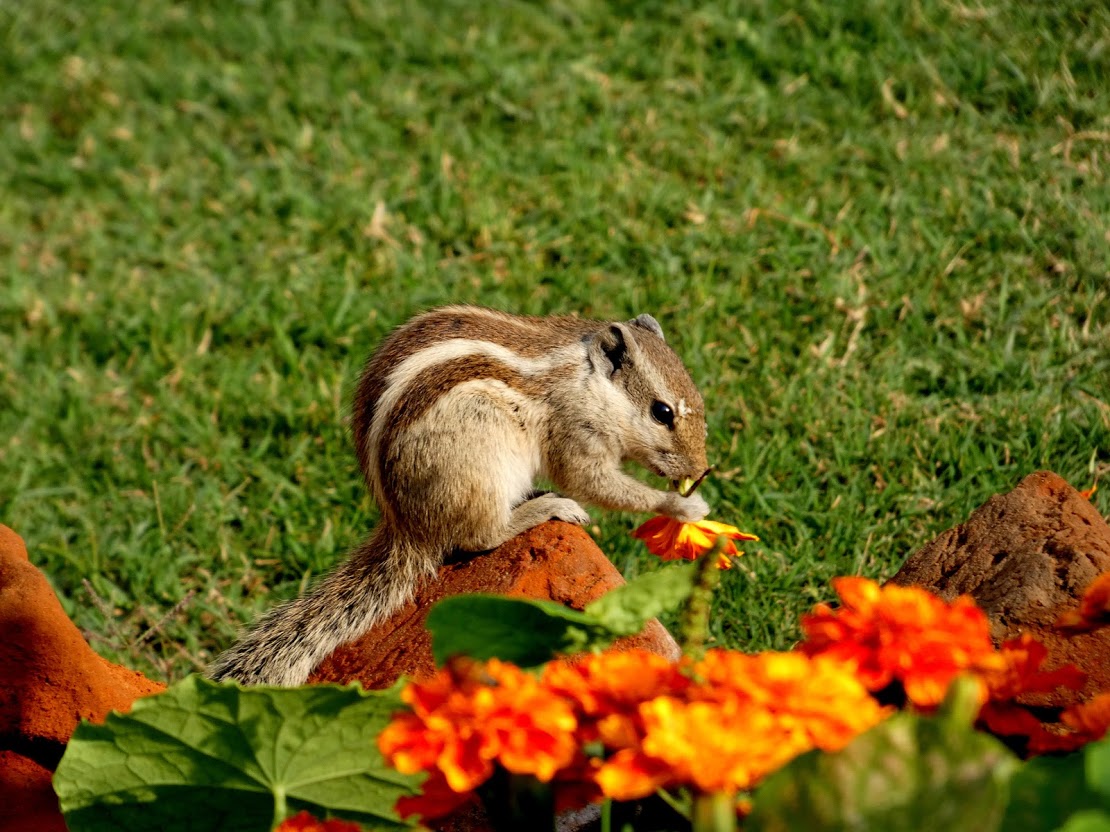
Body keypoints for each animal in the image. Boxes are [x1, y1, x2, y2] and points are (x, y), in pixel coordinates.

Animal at [206, 303, 710, 687]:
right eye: (662, 412)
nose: (701, 471)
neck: (586, 378)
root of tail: (407, 527)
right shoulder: (576, 431)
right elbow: (590, 481)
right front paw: (684, 506)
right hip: (480, 464)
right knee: (478, 538)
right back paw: (545, 507)